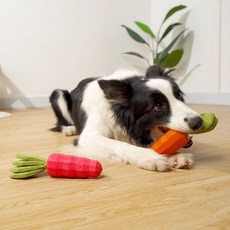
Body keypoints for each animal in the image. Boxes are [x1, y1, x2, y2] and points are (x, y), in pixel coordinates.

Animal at [49, 65, 202, 172]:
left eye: (178, 95)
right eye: (158, 106)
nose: (198, 122)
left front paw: (176, 156)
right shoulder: (88, 137)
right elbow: (119, 144)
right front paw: (149, 157)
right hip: (58, 94)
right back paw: (69, 128)